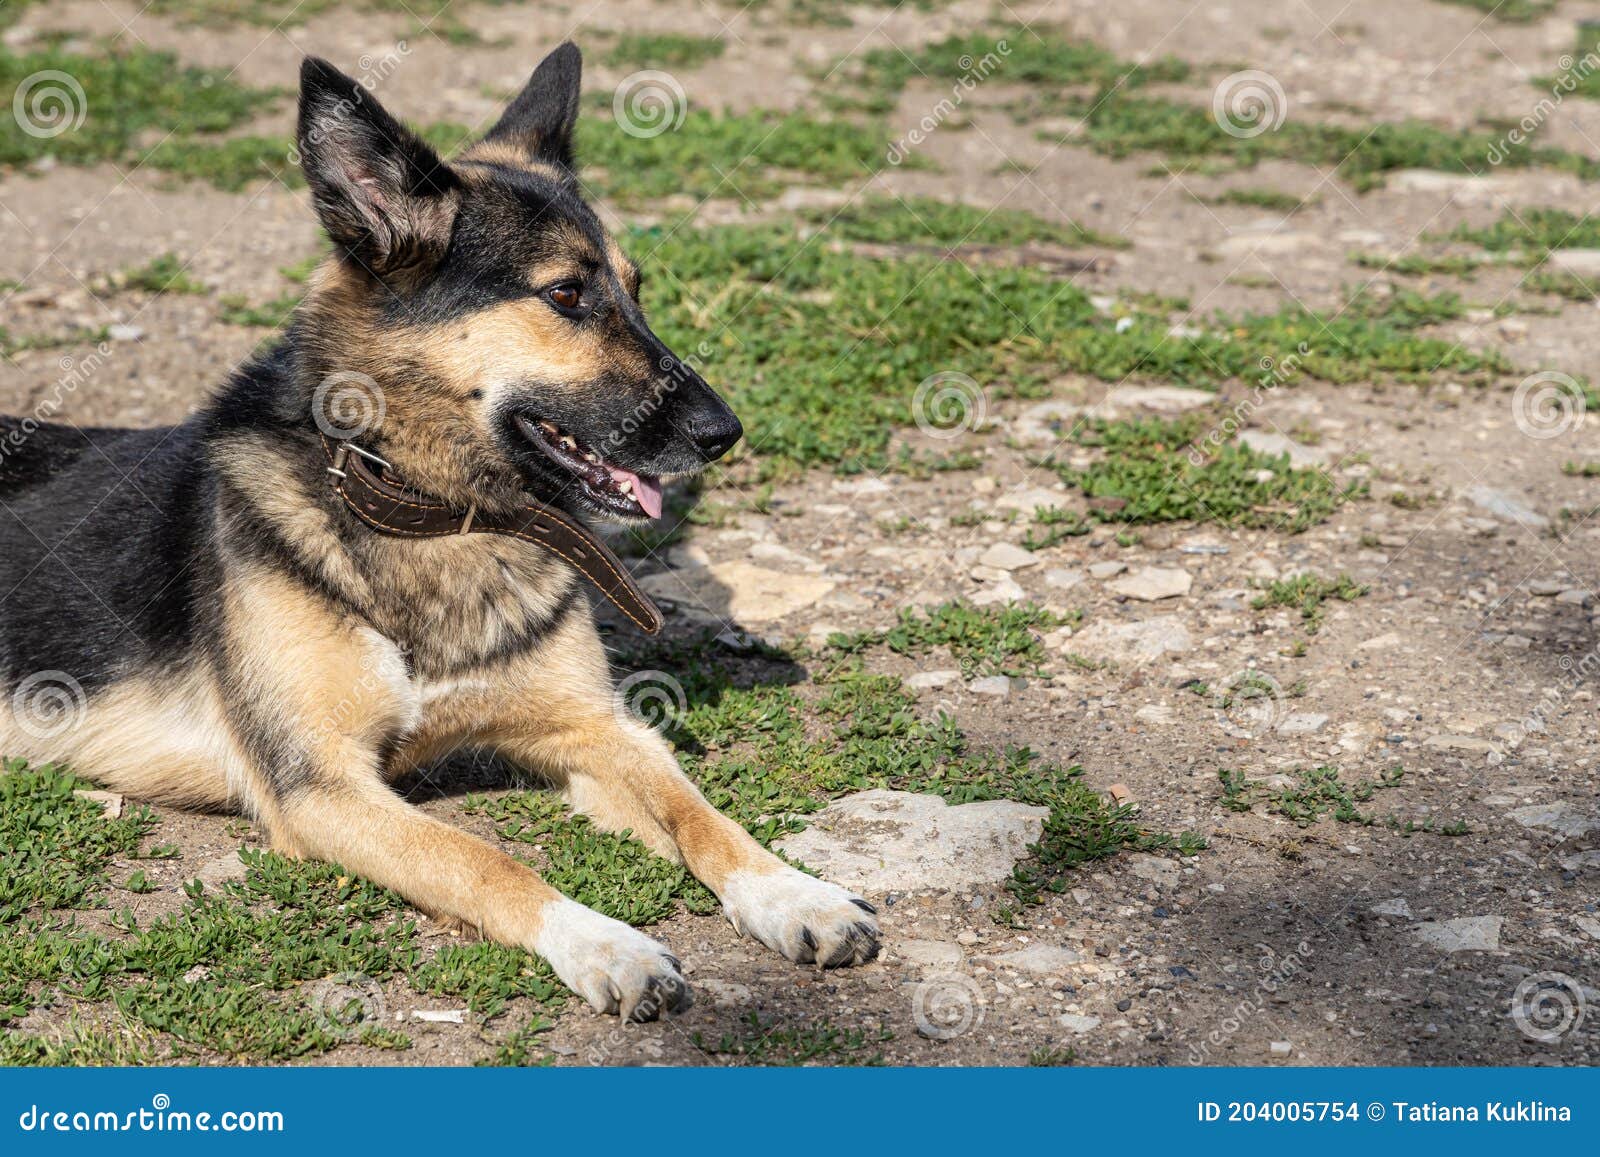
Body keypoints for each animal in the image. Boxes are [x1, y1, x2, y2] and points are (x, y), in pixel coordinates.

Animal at [0, 43, 876, 1024]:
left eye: (638, 290)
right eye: (566, 294)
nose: (724, 431)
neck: (429, 513)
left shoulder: (598, 727)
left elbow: (701, 813)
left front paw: (793, 891)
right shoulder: (322, 786)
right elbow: (484, 860)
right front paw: (604, 942)